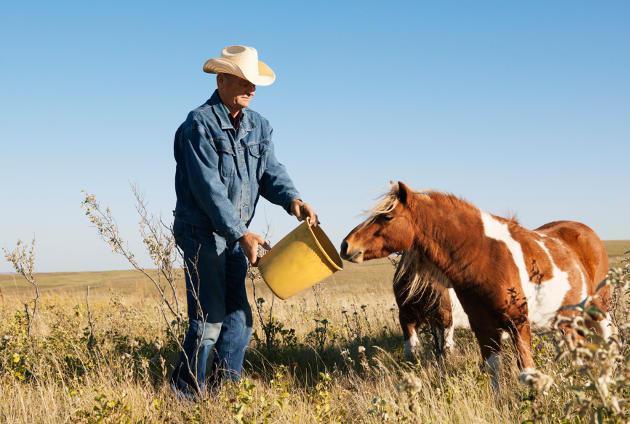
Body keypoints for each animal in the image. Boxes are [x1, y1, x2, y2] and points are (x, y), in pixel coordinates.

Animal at [344, 181, 616, 390]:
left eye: (387, 216)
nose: (346, 245)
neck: (486, 255)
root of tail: (587, 231)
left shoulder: (517, 323)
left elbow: (526, 372)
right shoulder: (482, 326)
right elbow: (492, 370)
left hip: (598, 311)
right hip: (566, 321)